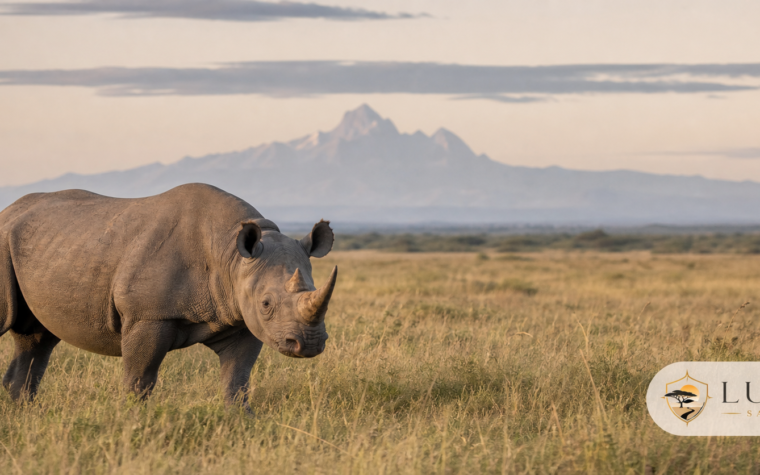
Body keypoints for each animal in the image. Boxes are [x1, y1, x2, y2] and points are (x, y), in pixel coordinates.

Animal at [0, 183, 336, 409]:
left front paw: (241, 422)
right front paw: (133, 423)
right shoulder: (147, 316)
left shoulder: (242, 317)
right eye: (267, 304)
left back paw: (23, 413)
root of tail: (9, 211)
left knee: (36, 339)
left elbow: (236, 379)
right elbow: (140, 378)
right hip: (8, 239)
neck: (230, 255)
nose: (309, 344)